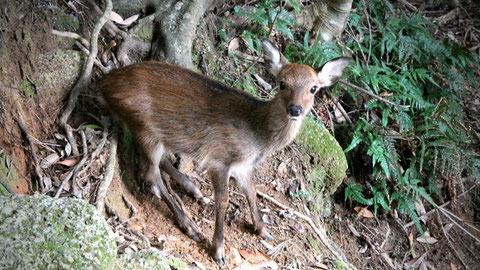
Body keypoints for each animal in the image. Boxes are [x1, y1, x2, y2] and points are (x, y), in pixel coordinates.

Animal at [98, 39, 348, 266]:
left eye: (313, 88)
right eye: (282, 84)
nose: (295, 109)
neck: (258, 135)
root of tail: (105, 83)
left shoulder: (243, 166)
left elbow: (252, 191)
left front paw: (262, 229)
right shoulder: (220, 159)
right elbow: (224, 200)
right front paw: (218, 251)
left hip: (157, 134)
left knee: (159, 163)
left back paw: (194, 189)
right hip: (144, 128)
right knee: (150, 175)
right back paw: (190, 226)